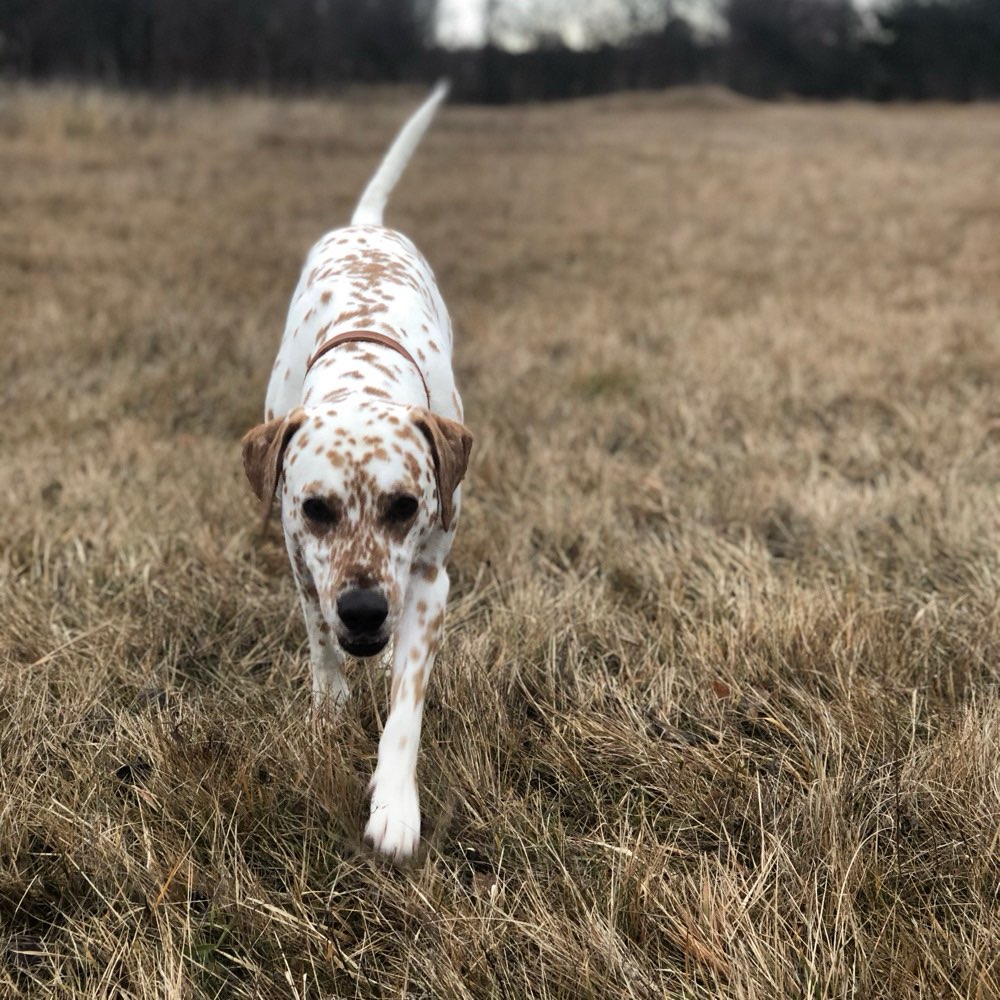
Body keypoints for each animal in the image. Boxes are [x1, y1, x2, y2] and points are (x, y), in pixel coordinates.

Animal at [244, 84, 474, 860]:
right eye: (317, 508)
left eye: (404, 506)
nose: (367, 609)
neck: (361, 372)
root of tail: (365, 226)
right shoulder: (299, 558)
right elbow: (320, 643)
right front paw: (330, 709)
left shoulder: (429, 581)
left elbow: (406, 706)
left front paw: (394, 805)